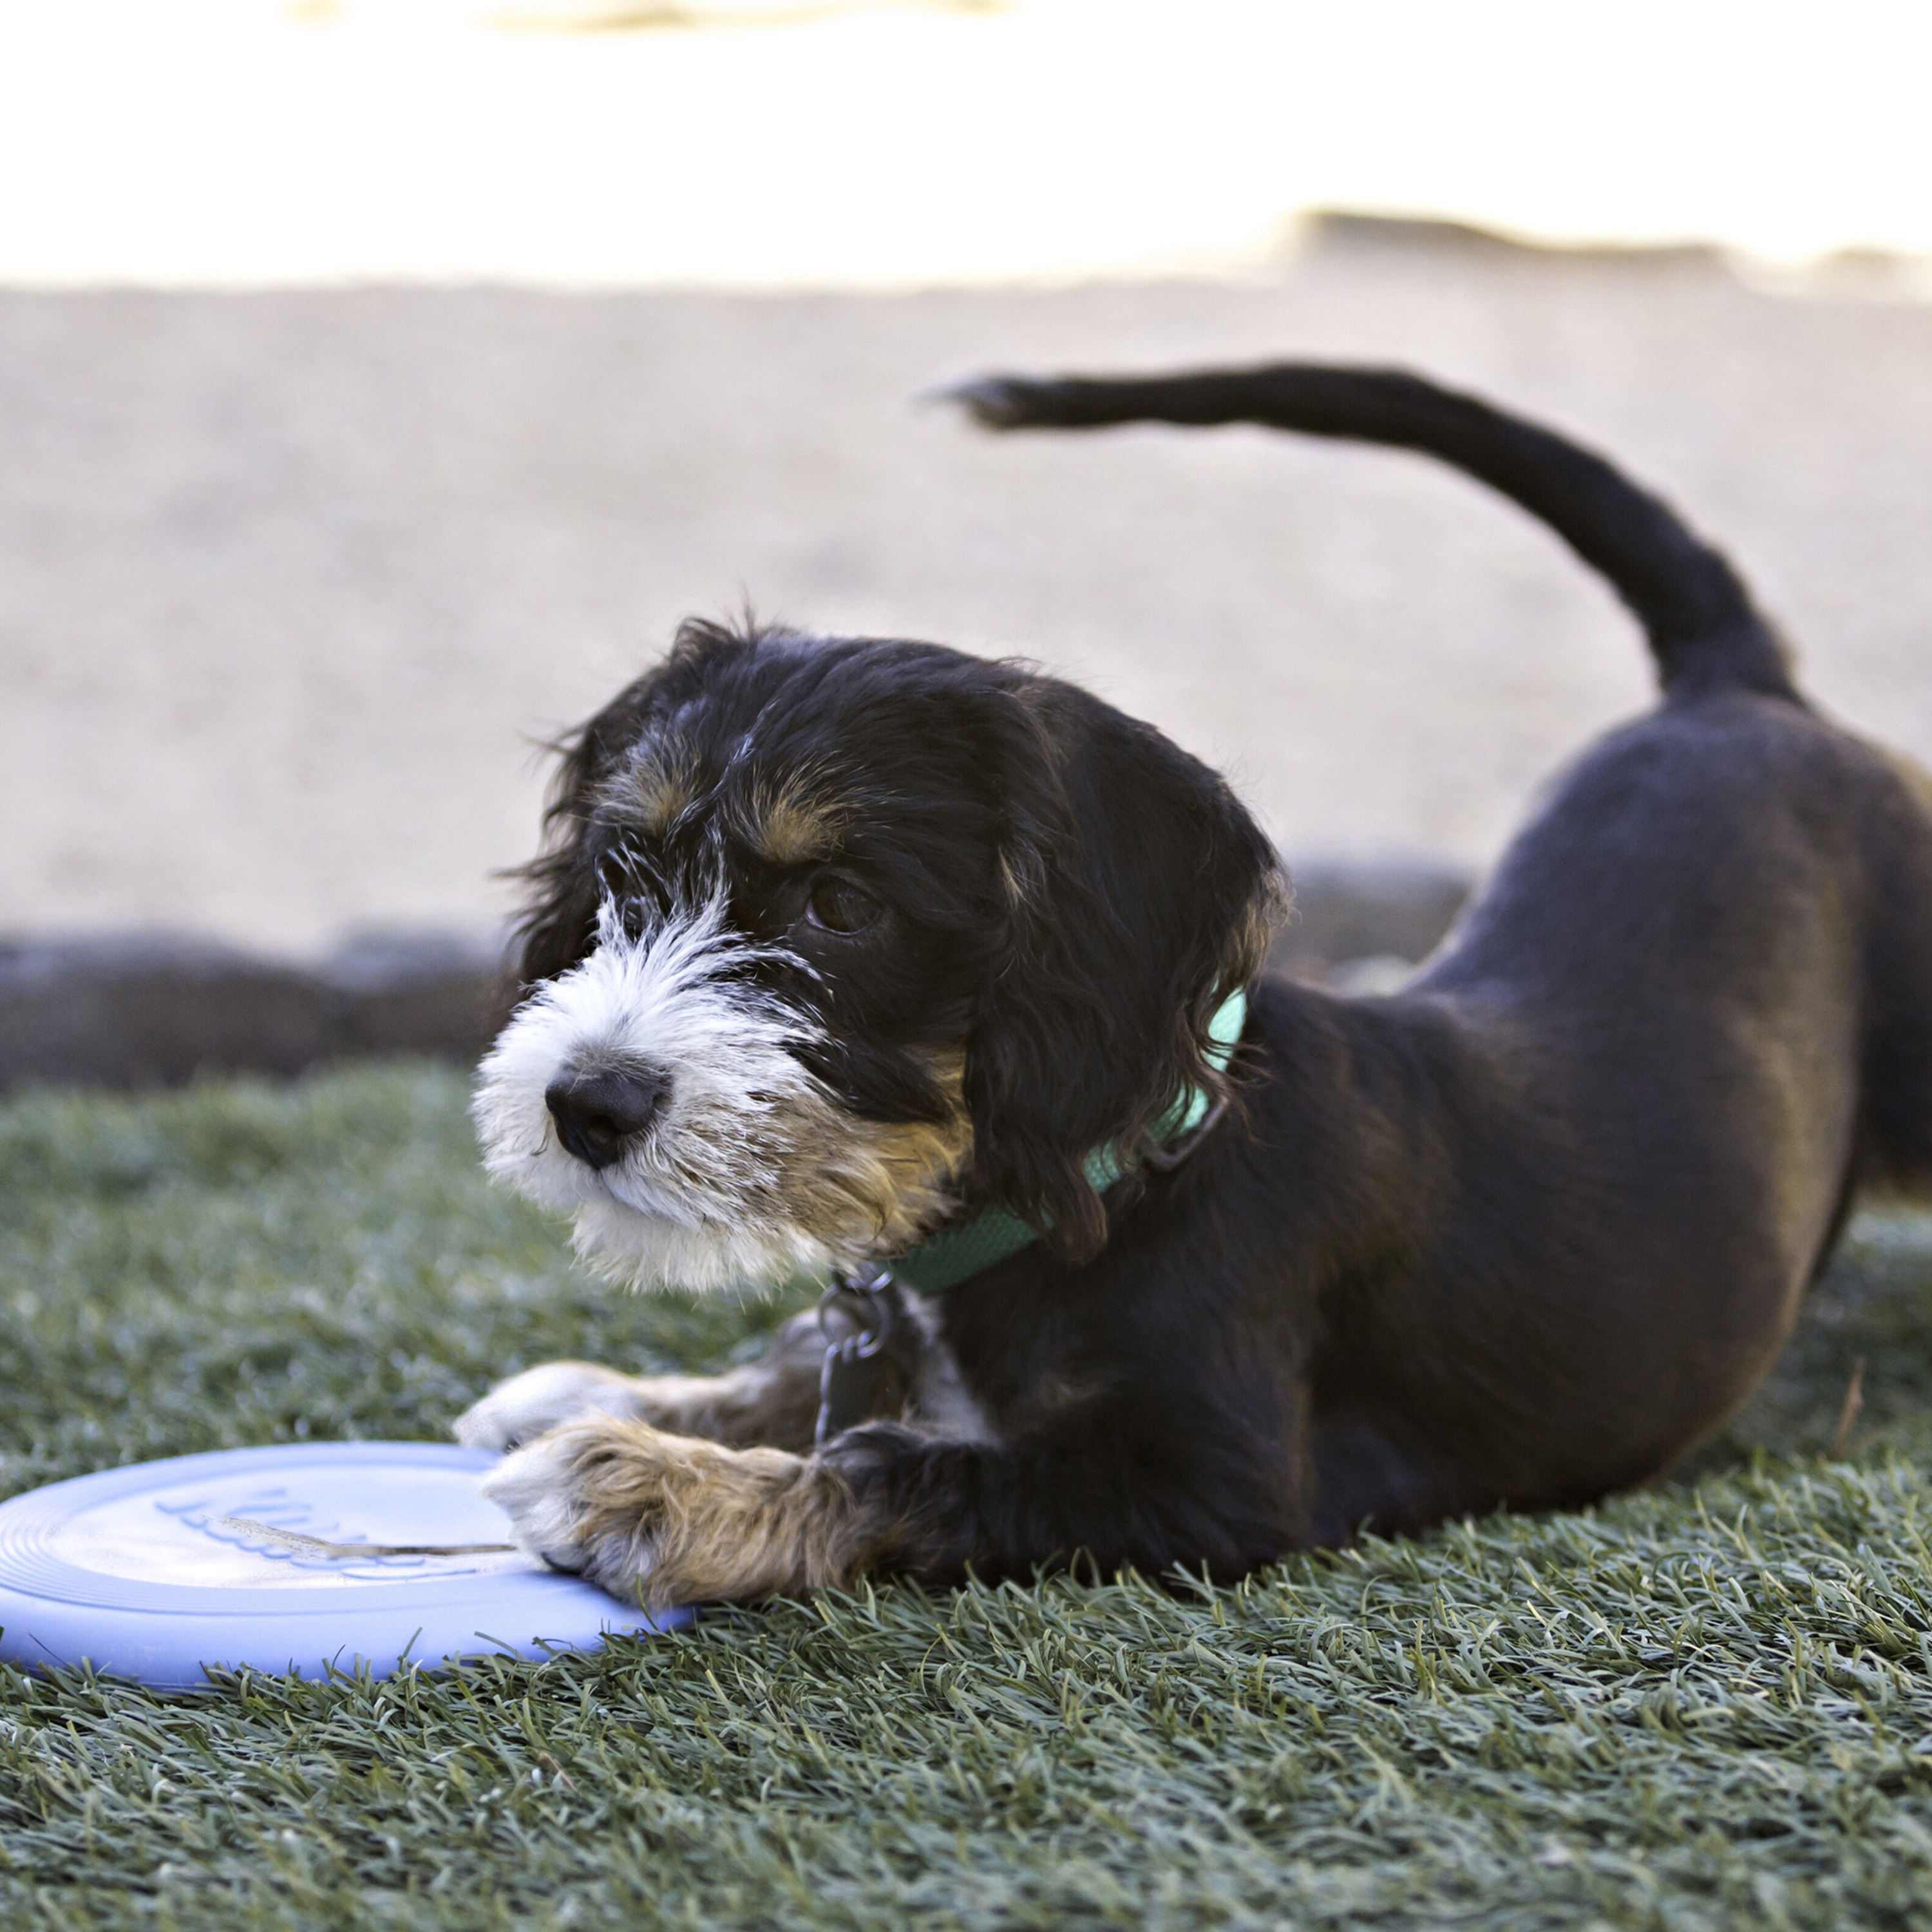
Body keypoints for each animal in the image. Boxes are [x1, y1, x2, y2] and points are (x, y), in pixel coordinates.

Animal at [456, 369, 1932, 1607]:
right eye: (625, 868)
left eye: (842, 906)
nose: (586, 1105)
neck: (1125, 1172)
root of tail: (1734, 690)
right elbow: (832, 1366)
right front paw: (618, 1398)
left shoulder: (1218, 1487)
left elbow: (916, 1465)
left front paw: (649, 1486)